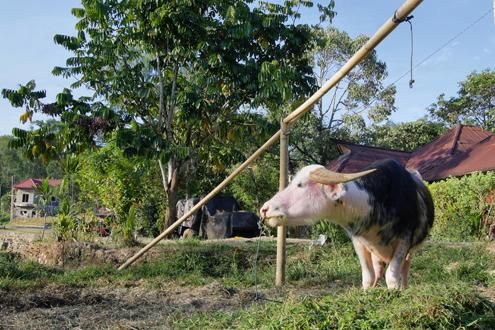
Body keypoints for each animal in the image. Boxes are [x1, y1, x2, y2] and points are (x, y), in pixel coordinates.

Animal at [260, 159, 434, 288]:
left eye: (300, 185)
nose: (264, 209)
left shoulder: (405, 239)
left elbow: (391, 276)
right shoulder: (358, 241)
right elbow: (368, 277)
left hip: (410, 251)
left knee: (404, 269)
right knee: (378, 271)